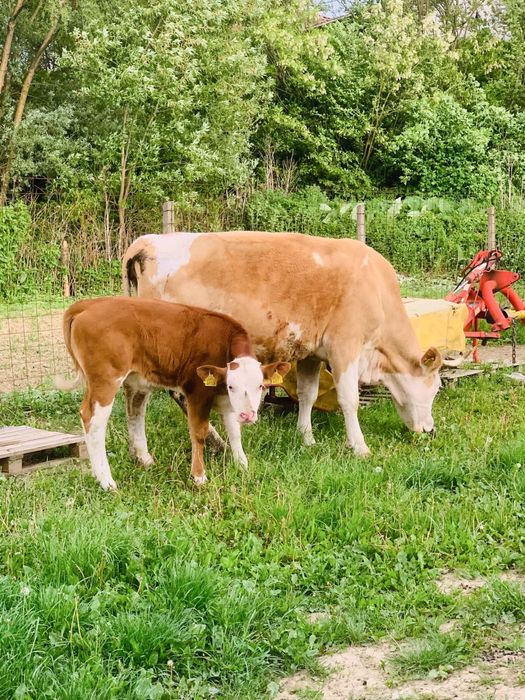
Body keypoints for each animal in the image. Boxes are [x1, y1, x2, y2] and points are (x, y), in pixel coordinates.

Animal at [56, 296, 290, 490]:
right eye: (232, 386)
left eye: (260, 386)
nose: (248, 415)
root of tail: (90, 304)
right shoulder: (197, 392)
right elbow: (198, 433)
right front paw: (199, 476)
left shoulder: (227, 401)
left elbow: (234, 432)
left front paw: (242, 465)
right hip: (105, 380)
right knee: (93, 420)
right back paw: (106, 481)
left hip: (136, 380)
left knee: (135, 414)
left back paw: (144, 460)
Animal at [122, 232, 443, 455]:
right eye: (435, 388)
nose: (430, 430)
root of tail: (146, 243)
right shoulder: (345, 346)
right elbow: (348, 399)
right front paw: (359, 447)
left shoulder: (313, 353)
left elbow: (307, 394)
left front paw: (307, 437)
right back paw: (215, 443)